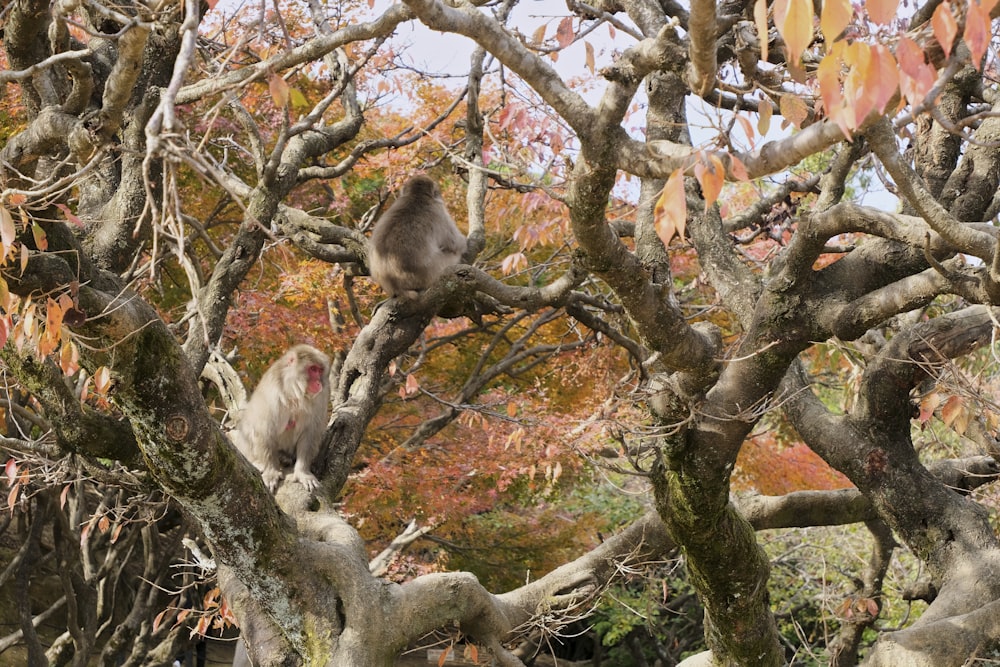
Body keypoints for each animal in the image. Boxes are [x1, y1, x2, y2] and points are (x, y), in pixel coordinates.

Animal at [231, 348, 332, 494]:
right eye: (313, 369)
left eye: (320, 370)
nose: (319, 382)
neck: (294, 391)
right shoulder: (272, 392)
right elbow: (264, 429)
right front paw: (271, 472)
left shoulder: (322, 396)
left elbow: (310, 433)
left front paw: (303, 472)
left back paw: (284, 457)